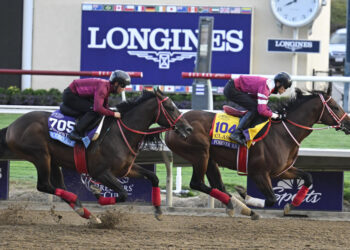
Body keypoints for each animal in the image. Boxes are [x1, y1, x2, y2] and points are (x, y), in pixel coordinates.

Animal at [0, 89, 191, 222]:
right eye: (170, 108)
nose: (188, 128)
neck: (121, 133)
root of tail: (12, 127)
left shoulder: (125, 170)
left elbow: (153, 177)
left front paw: (158, 211)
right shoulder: (101, 173)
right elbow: (123, 194)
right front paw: (98, 195)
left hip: (52, 160)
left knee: (59, 186)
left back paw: (85, 212)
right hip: (40, 156)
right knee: (44, 185)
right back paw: (82, 205)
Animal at [165, 88, 350, 219]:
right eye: (335, 107)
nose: (348, 122)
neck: (283, 132)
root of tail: (174, 125)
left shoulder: (282, 170)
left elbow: (308, 177)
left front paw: (291, 205)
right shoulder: (259, 173)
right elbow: (272, 199)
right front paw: (246, 196)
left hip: (210, 158)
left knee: (218, 186)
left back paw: (236, 206)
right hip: (200, 154)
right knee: (197, 183)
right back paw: (241, 206)